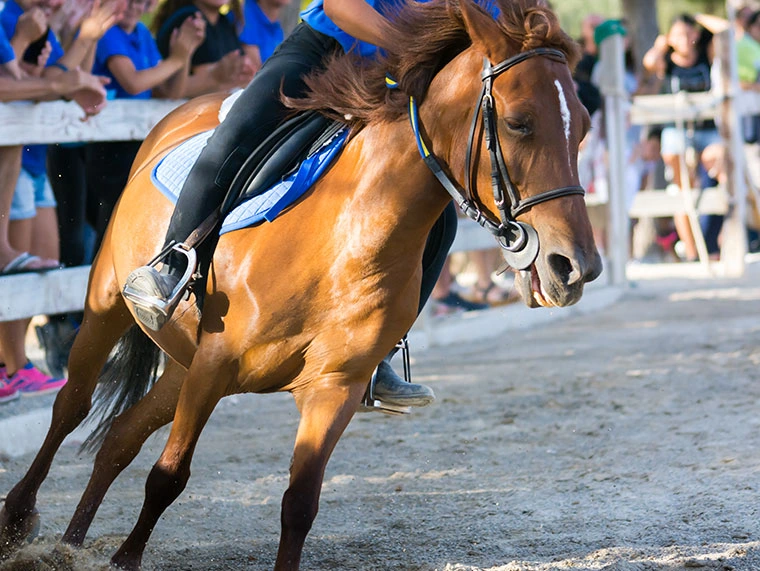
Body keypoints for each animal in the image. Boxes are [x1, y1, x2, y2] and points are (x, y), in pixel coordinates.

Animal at [0, 2, 604, 568]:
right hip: (109, 307)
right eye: (519, 122)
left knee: (120, 437)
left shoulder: (333, 387)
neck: (346, 235)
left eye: (583, 125)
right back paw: (19, 521)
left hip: (180, 363)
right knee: (72, 407)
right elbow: (168, 476)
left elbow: (299, 504)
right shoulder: (216, 362)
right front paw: (124, 558)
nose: (575, 266)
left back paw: (71, 543)